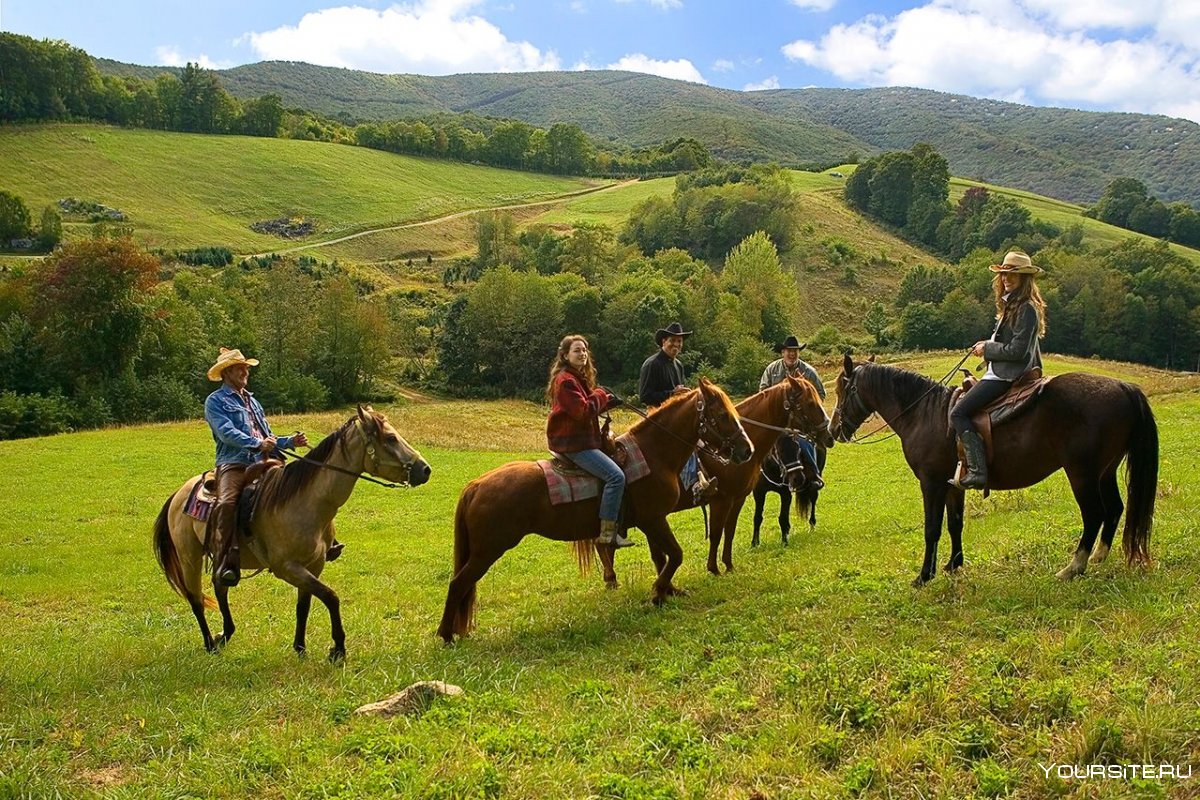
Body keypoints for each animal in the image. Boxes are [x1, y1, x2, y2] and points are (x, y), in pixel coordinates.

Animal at [152, 407, 429, 662]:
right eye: (391, 438)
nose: (425, 469)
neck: (306, 502)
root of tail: (178, 494)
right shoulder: (286, 568)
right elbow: (331, 597)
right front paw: (338, 649)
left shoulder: (313, 565)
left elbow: (304, 606)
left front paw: (301, 648)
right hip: (190, 557)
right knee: (196, 599)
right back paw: (210, 643)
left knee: (220, 587)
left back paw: (225, 634)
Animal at [436, 376, 753, 642]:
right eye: (723, 415)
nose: (746, 450)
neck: (654, 454)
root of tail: (476, 485)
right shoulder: (653, 519)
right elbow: (675, 555)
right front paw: (657, 593)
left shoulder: (653, 521)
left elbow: (664, 556)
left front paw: (667, 592)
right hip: (486, 551)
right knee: (458, 583)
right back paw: (446, 635)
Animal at [830, 357, 1156, 587]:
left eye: (841, 390)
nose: (834, 431)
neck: (925, 414)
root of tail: (1123, 387)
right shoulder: (953, 484)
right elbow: (955, 524)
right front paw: (953, 565)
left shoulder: (931, 483)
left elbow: (932, 529)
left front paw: (924, 576)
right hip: (1105, 472)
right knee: (1115, 508)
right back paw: (1099, 556)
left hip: (1082, 474)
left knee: (1095, 514)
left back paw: (1073, 567)